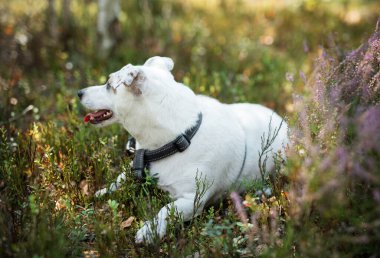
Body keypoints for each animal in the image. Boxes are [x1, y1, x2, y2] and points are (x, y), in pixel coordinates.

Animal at [80, 55, 288, 243]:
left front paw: (149, 231)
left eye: (108, 84)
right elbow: (120, 178)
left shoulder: (192, 201)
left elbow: (165, 210)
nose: (79, 92)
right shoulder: (136, 166)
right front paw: (104, 191)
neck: (179, 139)